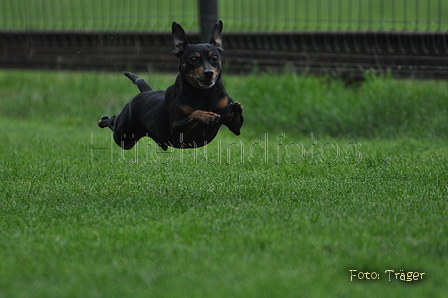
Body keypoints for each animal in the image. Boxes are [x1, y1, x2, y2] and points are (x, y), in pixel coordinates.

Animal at [99, 20, 245, 151]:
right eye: (193, 59)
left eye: (214, 58)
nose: (209, 73)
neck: (203, 94)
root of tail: (145, 91)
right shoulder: (175, 132)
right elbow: (194, 113)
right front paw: (207, 115)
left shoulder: (233, 126)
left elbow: (235, 123)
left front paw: (236, 108)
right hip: (123, 136)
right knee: (113, 122)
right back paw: (103, 121)